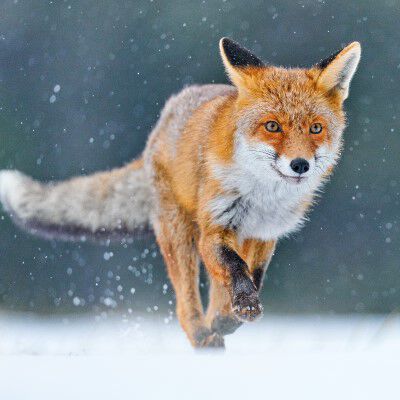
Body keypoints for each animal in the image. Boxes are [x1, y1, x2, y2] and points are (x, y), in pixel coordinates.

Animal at [0, 39, 362, 348]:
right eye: (272, 126)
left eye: (316, 128)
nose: (300, 164)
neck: (263, 196)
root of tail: (160, 126)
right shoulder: (216, 228)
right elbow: (235, 268)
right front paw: (242, 306)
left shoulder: (264, 234)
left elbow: (253, 275)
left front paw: (233, 314)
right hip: (180, 235)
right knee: (186, 304)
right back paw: (203, 336)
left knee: (214, 293)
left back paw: (218, 324)